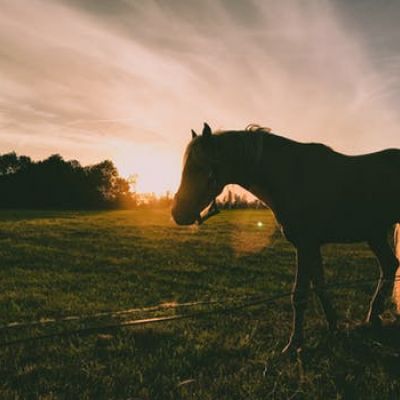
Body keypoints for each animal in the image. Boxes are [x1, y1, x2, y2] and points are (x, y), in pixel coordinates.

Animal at [172, 122, 400, 354]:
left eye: (200, 168)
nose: (178, 213)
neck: (292, 176)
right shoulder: (311, 246)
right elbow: (319, 287)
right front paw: (333, 327)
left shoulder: (305, 245)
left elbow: (299, 295)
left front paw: (294, 344)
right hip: (374, 235)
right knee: (389, 266)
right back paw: (373, 318)